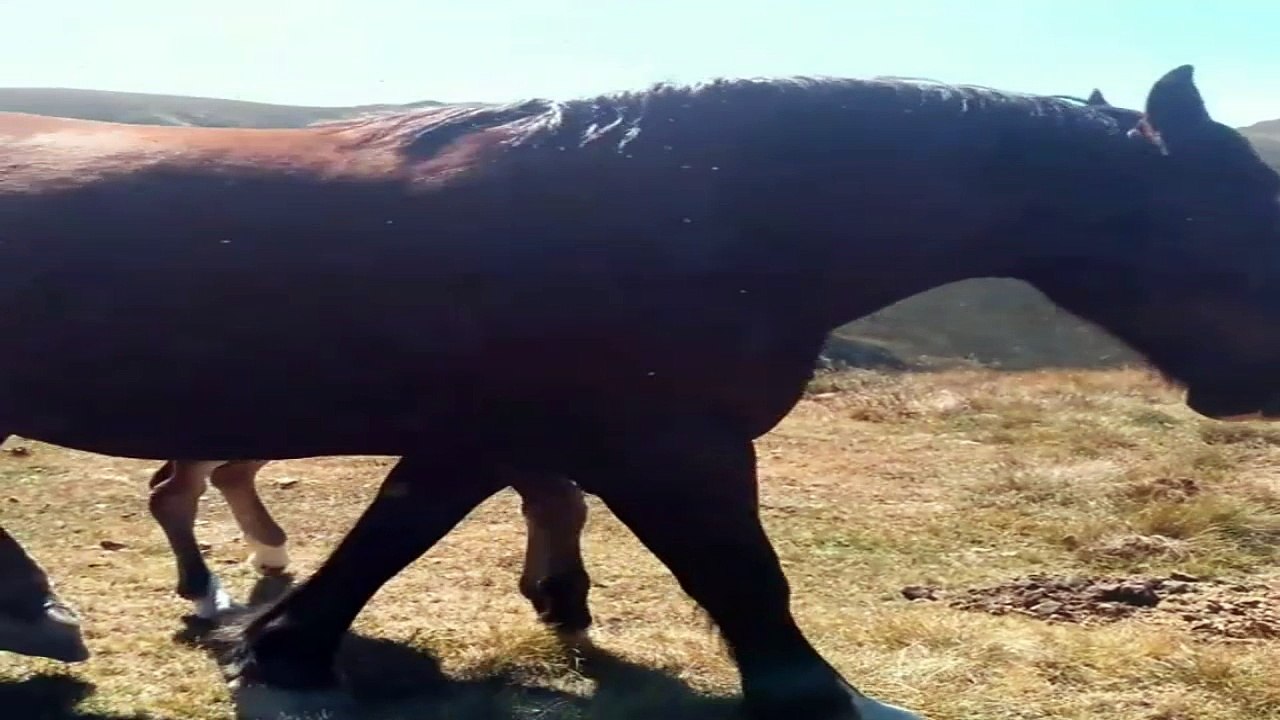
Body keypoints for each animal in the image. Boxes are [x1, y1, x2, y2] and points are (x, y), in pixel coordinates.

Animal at [1, 64, 1277, 720]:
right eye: (1230, 208)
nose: (1256, 385)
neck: (697, 215)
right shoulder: (669, 443)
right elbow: (744, 579)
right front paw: (808, 692)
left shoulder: (492, 433)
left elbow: (392, 535)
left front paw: (283, 646)